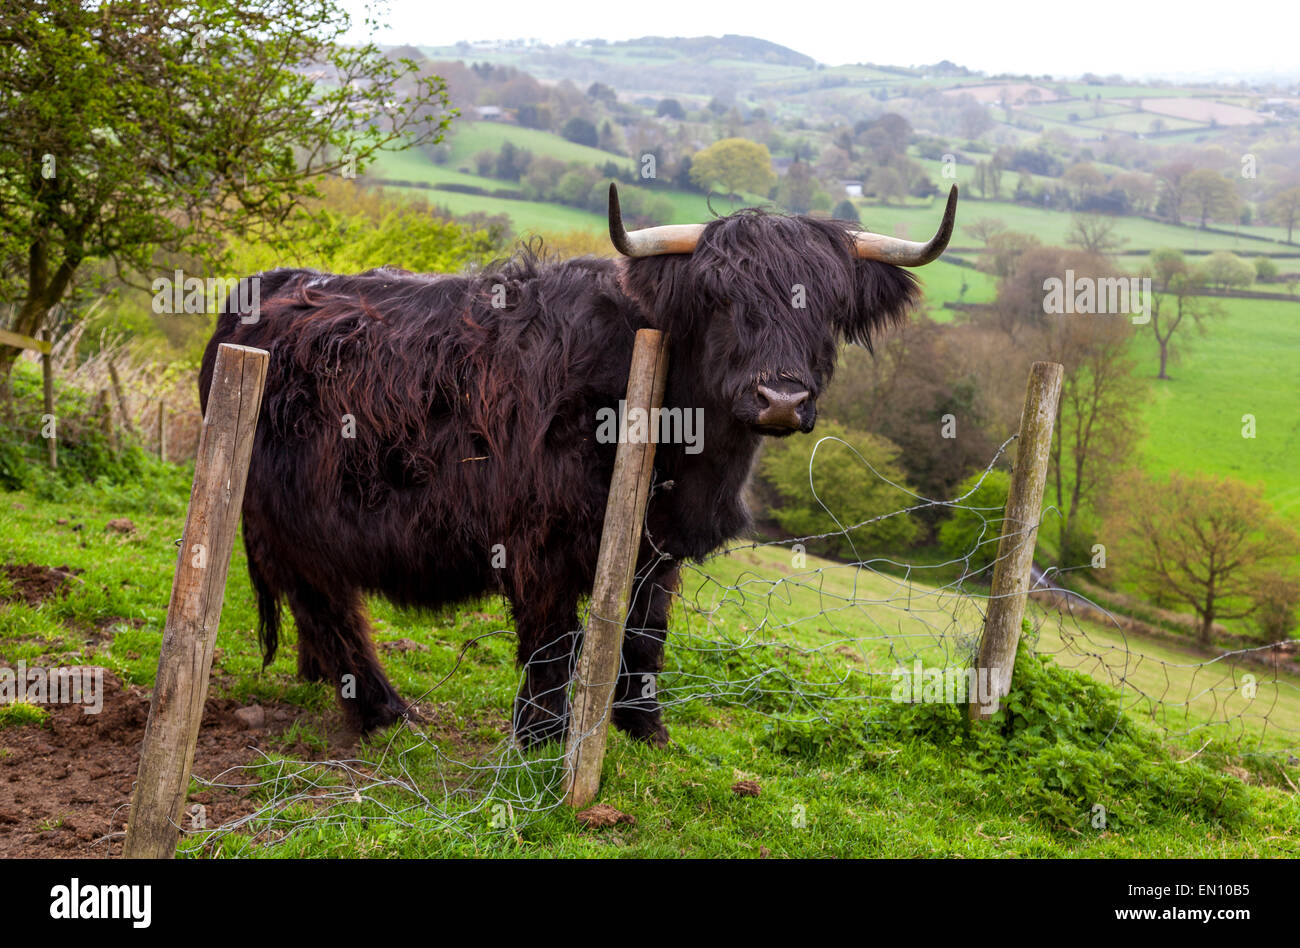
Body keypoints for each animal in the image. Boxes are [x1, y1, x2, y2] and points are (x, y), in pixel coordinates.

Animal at [200, 183, 956, 749]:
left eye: (828, 307)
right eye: (719, 300)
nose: (781, 399)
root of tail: (267, 287)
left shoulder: (659, 545)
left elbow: (644, 633)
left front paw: (643, 726)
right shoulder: (538, 538)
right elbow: (554, 640)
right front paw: (539, 738)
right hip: (288, 517)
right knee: (328, 607)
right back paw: (385, 713)